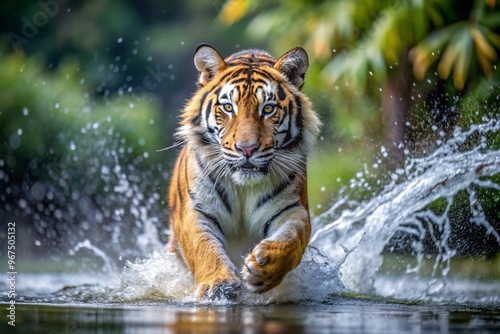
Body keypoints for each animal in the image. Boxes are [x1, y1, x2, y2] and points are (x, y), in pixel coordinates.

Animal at [166, 42, 322, 300]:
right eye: (229, 107)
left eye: (268, 109)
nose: (246, 148)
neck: (242, 185)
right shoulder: (196, 210)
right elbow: (203, 247)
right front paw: (217, 284)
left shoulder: (292, 209)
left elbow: (292, 240)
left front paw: (264, 268)